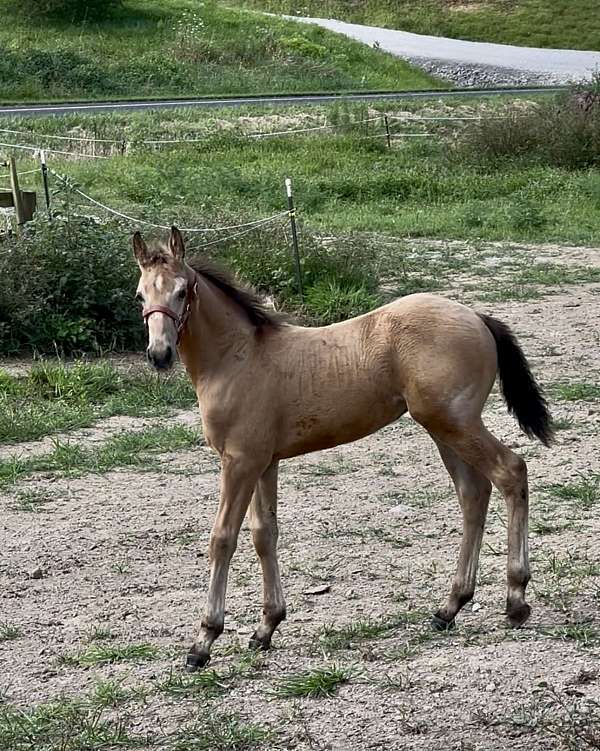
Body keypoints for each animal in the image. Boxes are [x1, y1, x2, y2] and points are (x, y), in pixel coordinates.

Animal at [133, 226, 553, 671]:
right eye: (141, 295)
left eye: (181, 291)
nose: (159, 355)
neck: (237, 358)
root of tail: (477, 316)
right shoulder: (263, 463)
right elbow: (265, 534)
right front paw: (266, 627)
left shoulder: (239, 462)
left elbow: (222, 538)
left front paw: (204, 641)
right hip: (444, 429)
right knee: (474, 494)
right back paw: (450, 607)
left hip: (456, 423)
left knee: (511, 471)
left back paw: (516, 599)